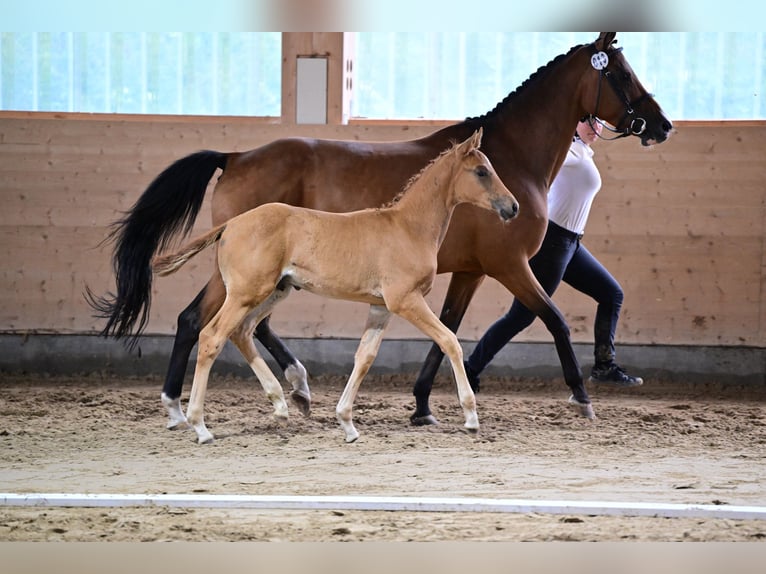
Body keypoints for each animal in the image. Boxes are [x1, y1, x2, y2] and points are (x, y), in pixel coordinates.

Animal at [152, 130, 520, 446]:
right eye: (482, 171)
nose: (513, 207)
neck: (407, 227)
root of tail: (231, 224)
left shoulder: (381, 307)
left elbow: (364, 357)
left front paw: (347, 423)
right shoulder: (405, 300)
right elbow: (449, 341)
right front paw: (471, 417)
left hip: (274, 291)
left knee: (242, 332)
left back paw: (281, 406)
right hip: (245, 293)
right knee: (211, 336)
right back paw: (199, 425)